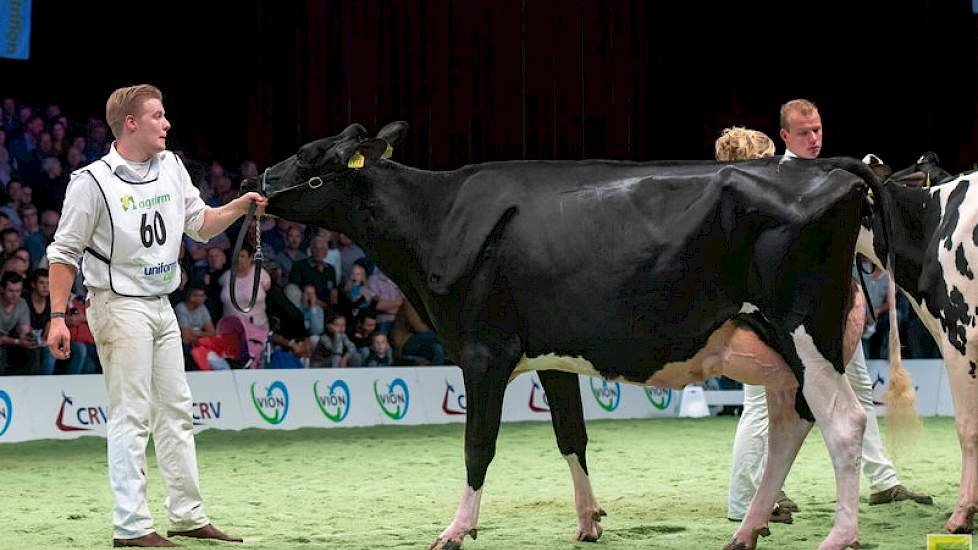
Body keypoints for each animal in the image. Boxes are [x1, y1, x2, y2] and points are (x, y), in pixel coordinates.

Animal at [252, 123, 884, 548]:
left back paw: (839, 535)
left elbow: (477, 445)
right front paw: (588, 521)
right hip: (774, 347)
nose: (260, 178)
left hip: (805, 331)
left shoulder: (483, 352)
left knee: (845, 423)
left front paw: (456, 529)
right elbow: (571, 436)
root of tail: (830, 168)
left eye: (308, 154)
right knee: (788, 426)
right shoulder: (553, 355)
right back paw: (747, 530)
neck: (437, 217)